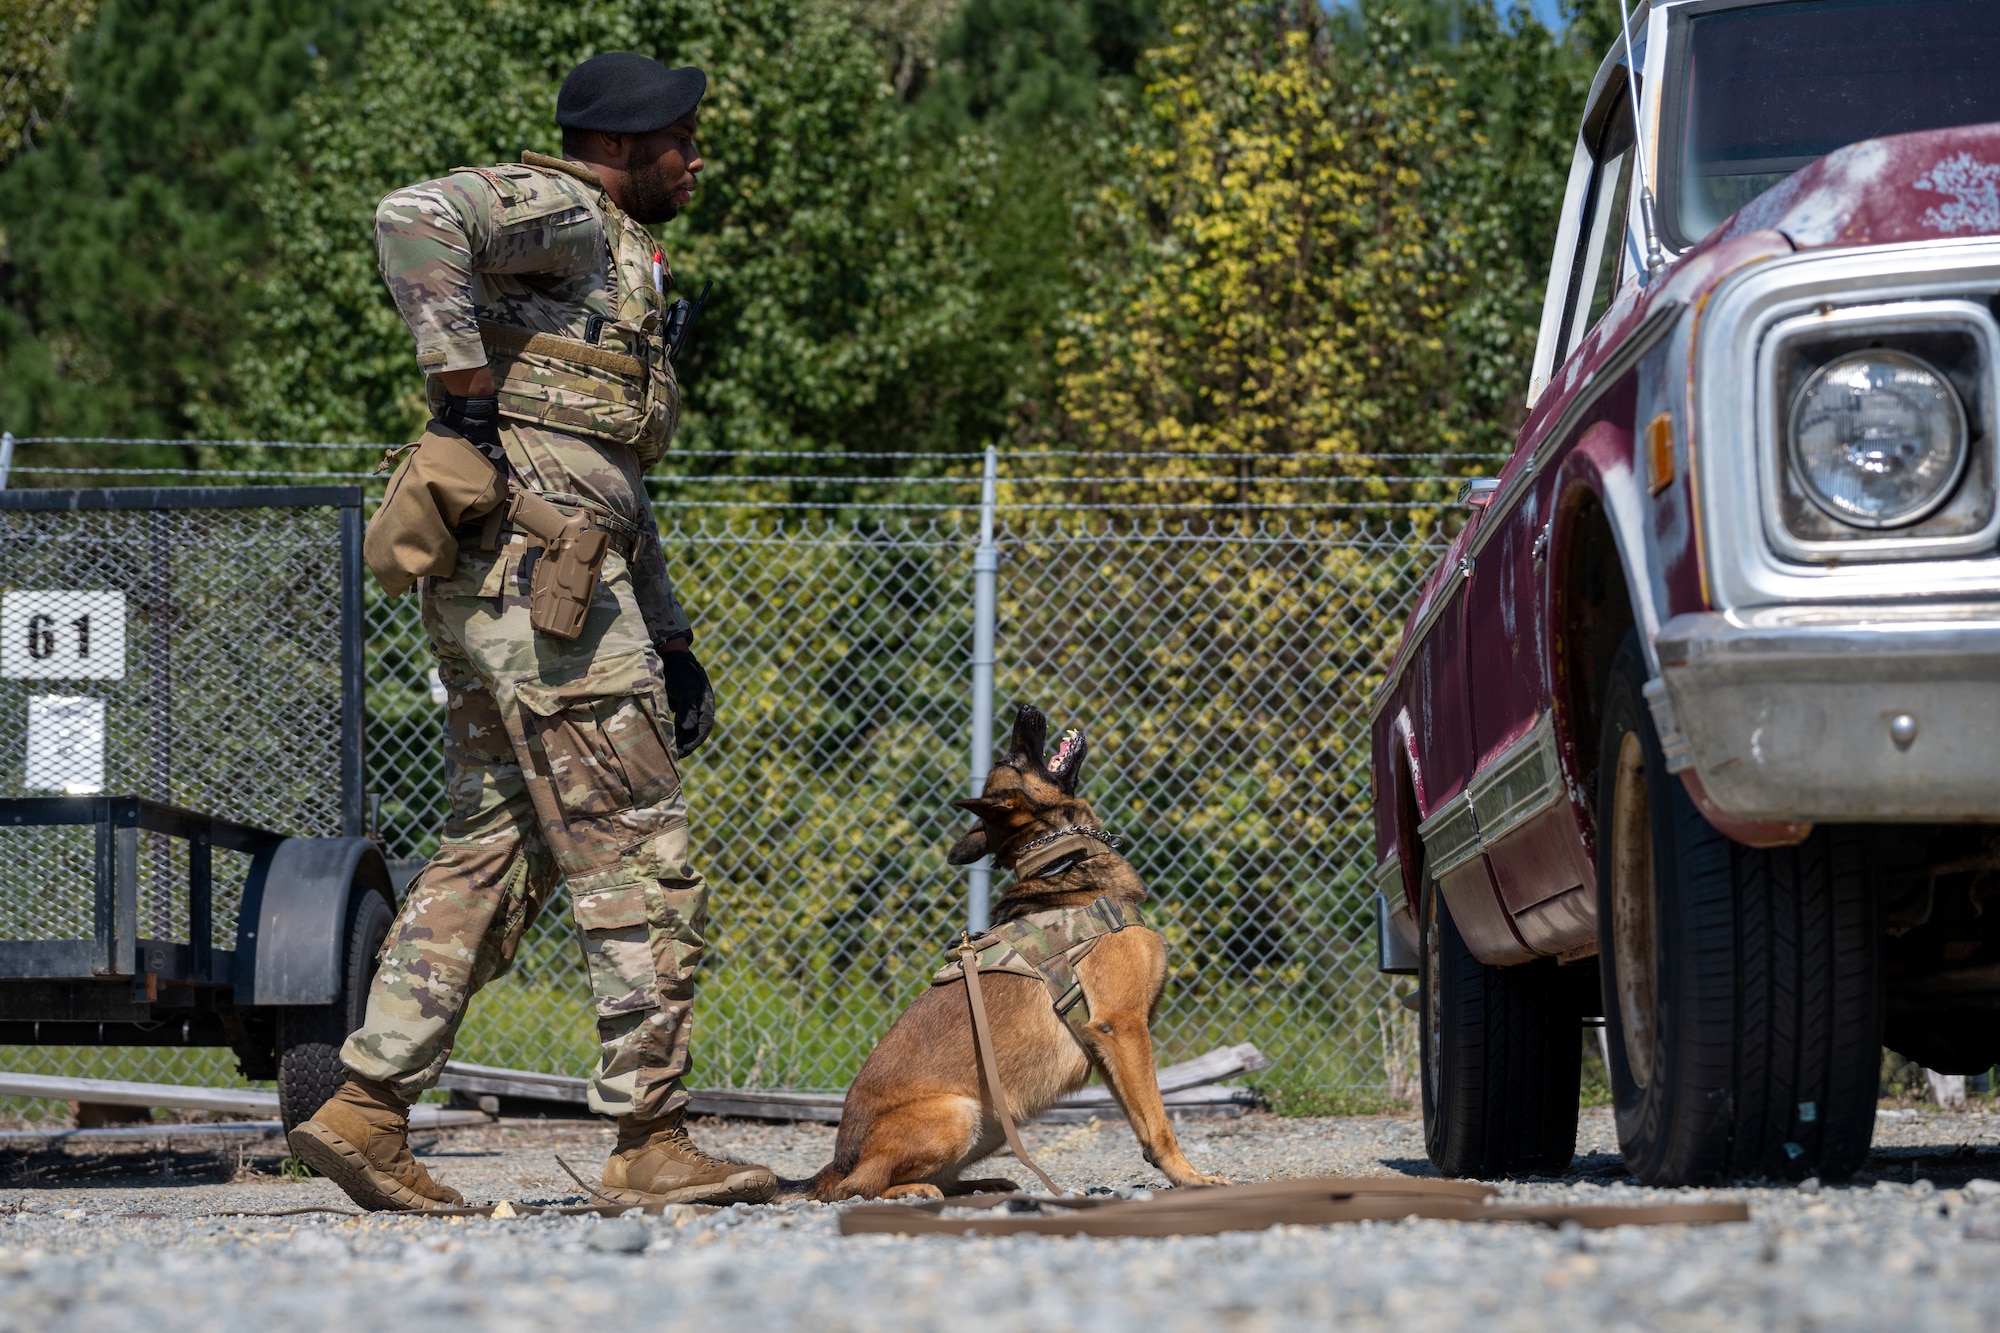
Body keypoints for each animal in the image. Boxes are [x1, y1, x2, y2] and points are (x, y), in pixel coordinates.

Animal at [808, 704, 1216, 1192]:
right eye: (1013, 759)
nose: (1024, 709)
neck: (1064, 864)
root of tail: (837, 1163)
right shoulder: (1122, 1026)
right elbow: (1159, 1121)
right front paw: (1190, 1177)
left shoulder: (1106, 1043)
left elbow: (1142, 1121)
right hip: (959, 1114)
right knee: (861, 1185)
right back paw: (916, 1188)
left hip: (995, 1124)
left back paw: (984, 1184)